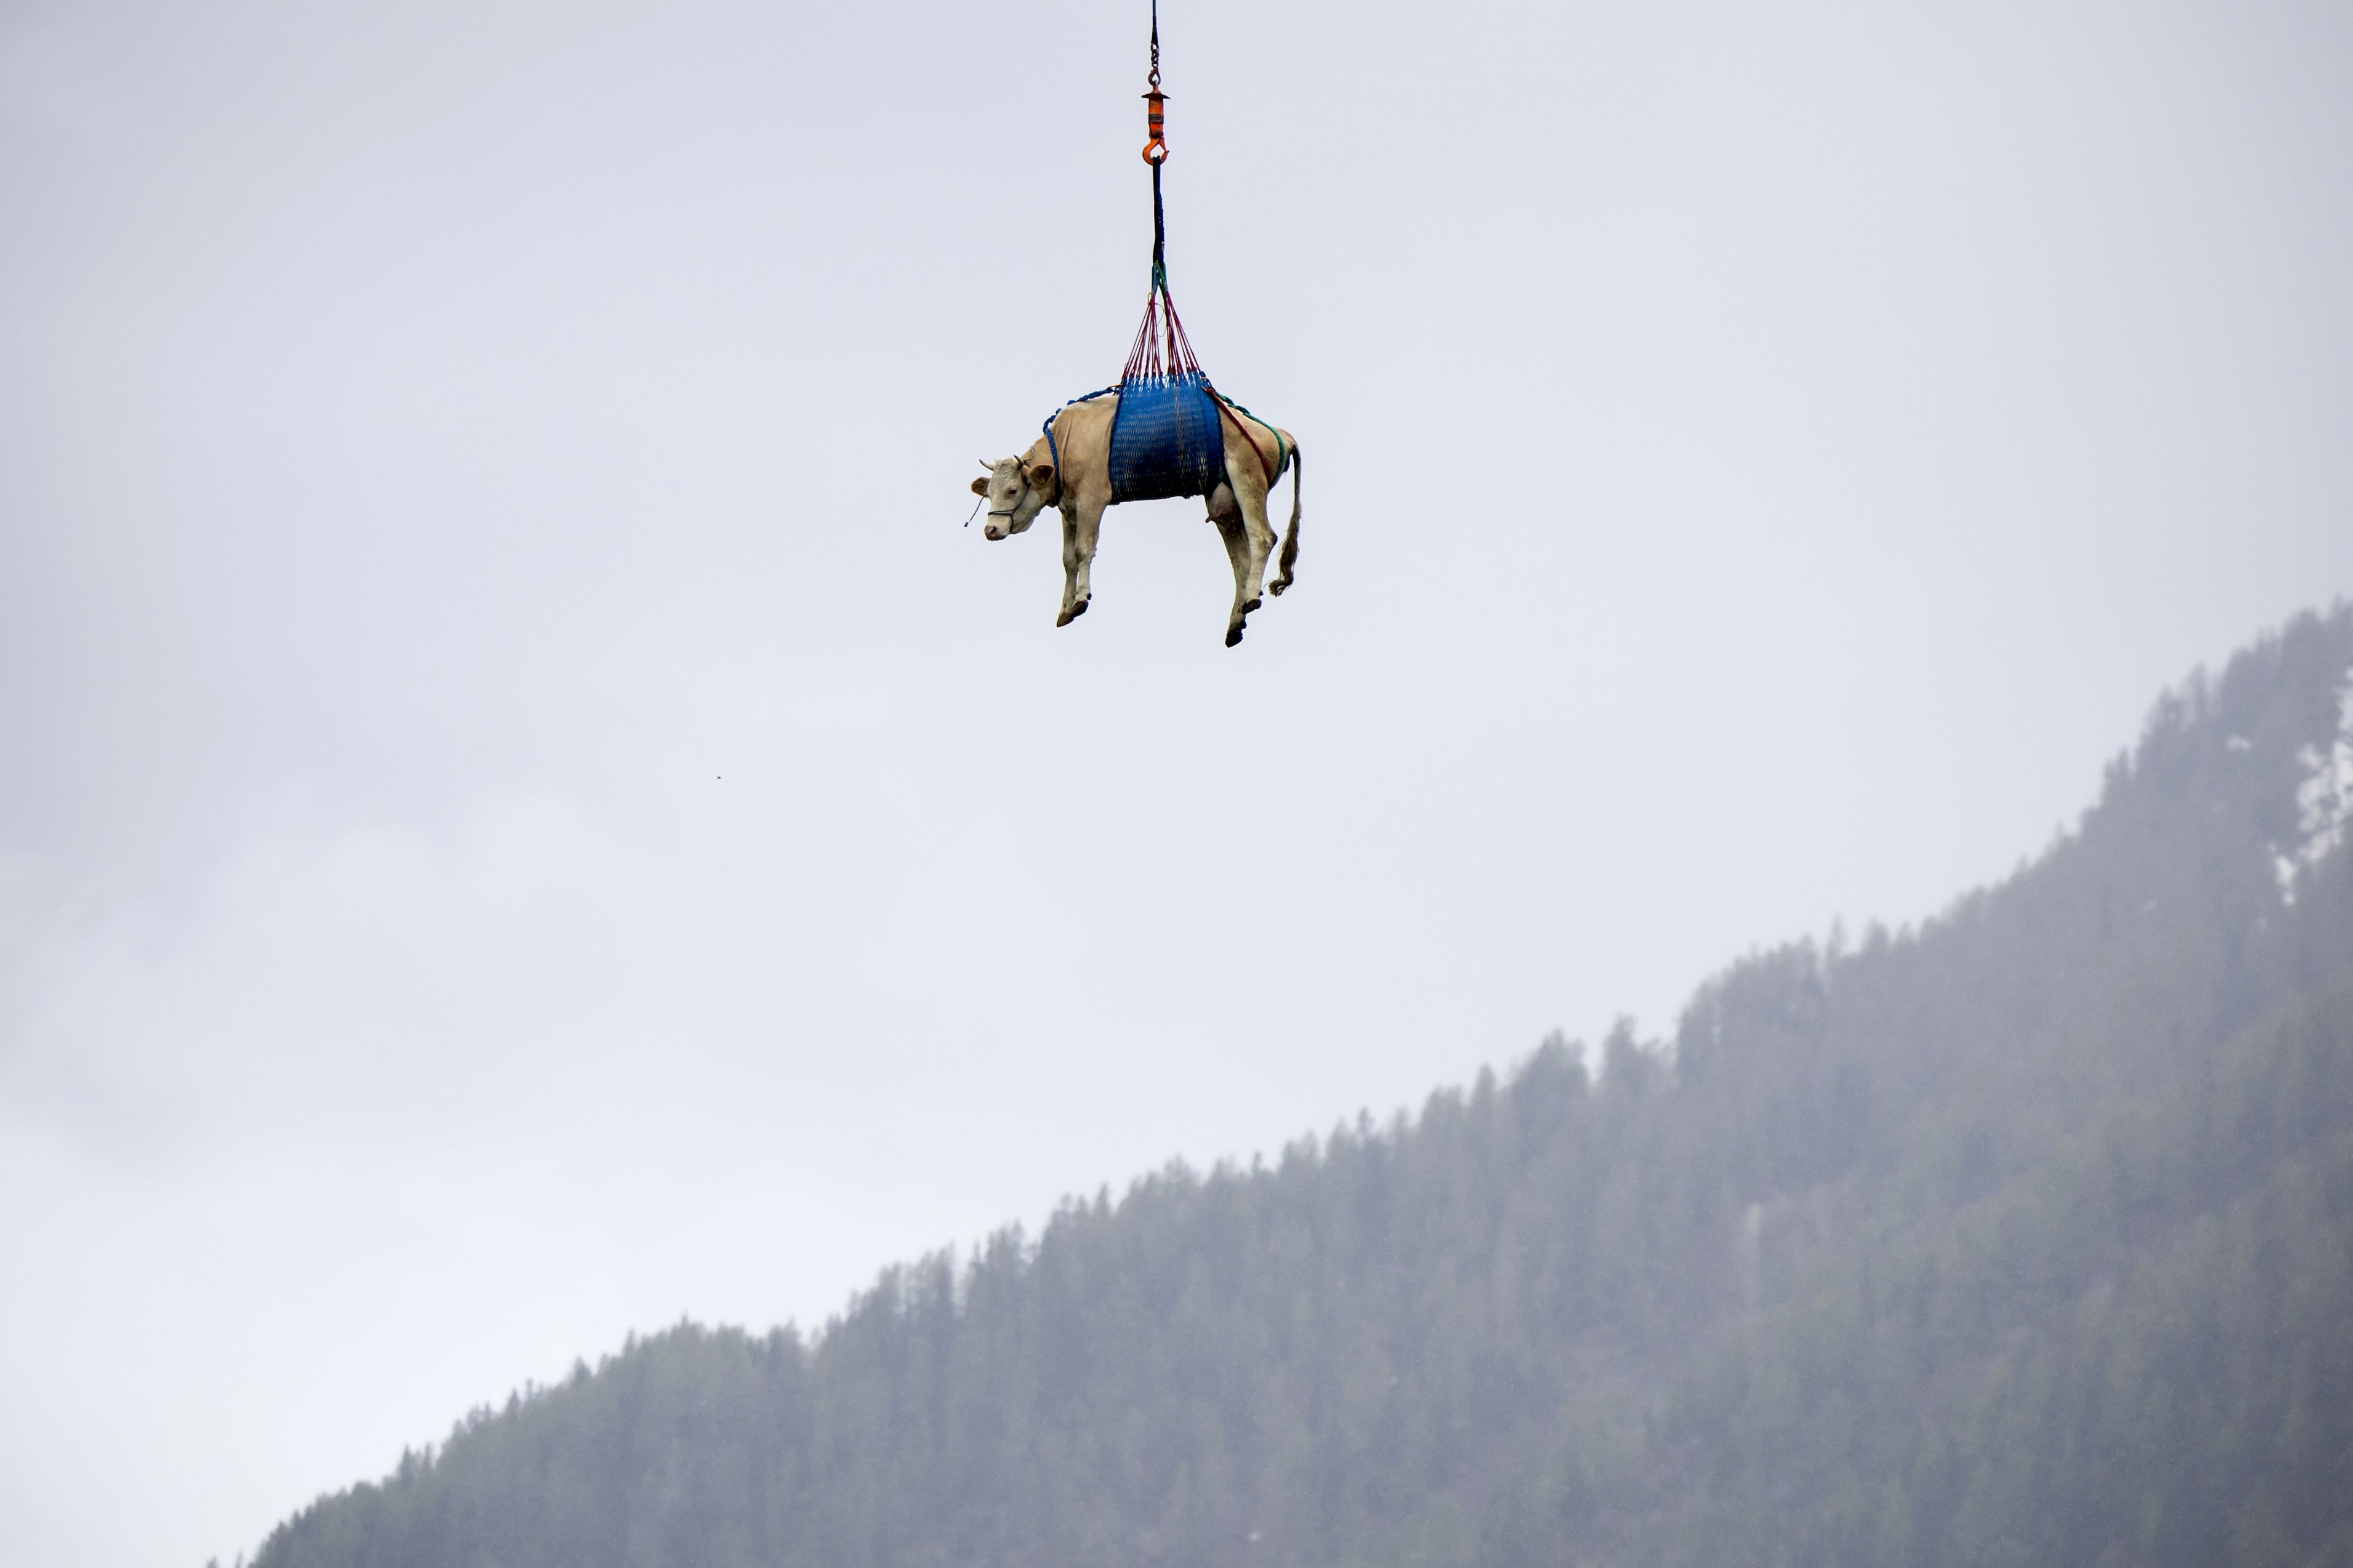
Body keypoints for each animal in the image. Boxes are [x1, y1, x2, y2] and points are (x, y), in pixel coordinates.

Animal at [972, 393, 1301, 647]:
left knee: (1263, 537)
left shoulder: (1092, 500)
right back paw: (1236, 622)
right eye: (988, 493)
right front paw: (1065, 610)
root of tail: (1280, 433)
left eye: (1013, 490)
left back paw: (1251, 599)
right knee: (1240, 562)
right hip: (1224, 504)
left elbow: (1082, 551)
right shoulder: (1070, 510)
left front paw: (1080, 600)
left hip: (1247, 477)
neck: (1067, 442)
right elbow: (1067, 560)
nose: (990, 529)